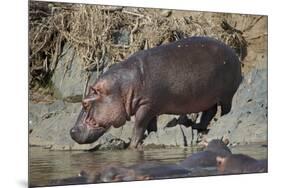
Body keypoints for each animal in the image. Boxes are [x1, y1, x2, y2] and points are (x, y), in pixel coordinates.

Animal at [69, 36, 241, 148]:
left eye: (85, 103)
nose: (72, 130)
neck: (121, 88)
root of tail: (233, 52)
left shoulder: (146, 105)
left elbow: (139, 125)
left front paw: (132, 145)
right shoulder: (152, 108)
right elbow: (150, 125)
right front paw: (151, 136)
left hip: (227, 95)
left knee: (225, 109)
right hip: (209, 97)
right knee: (209, 111)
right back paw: (197, 127)